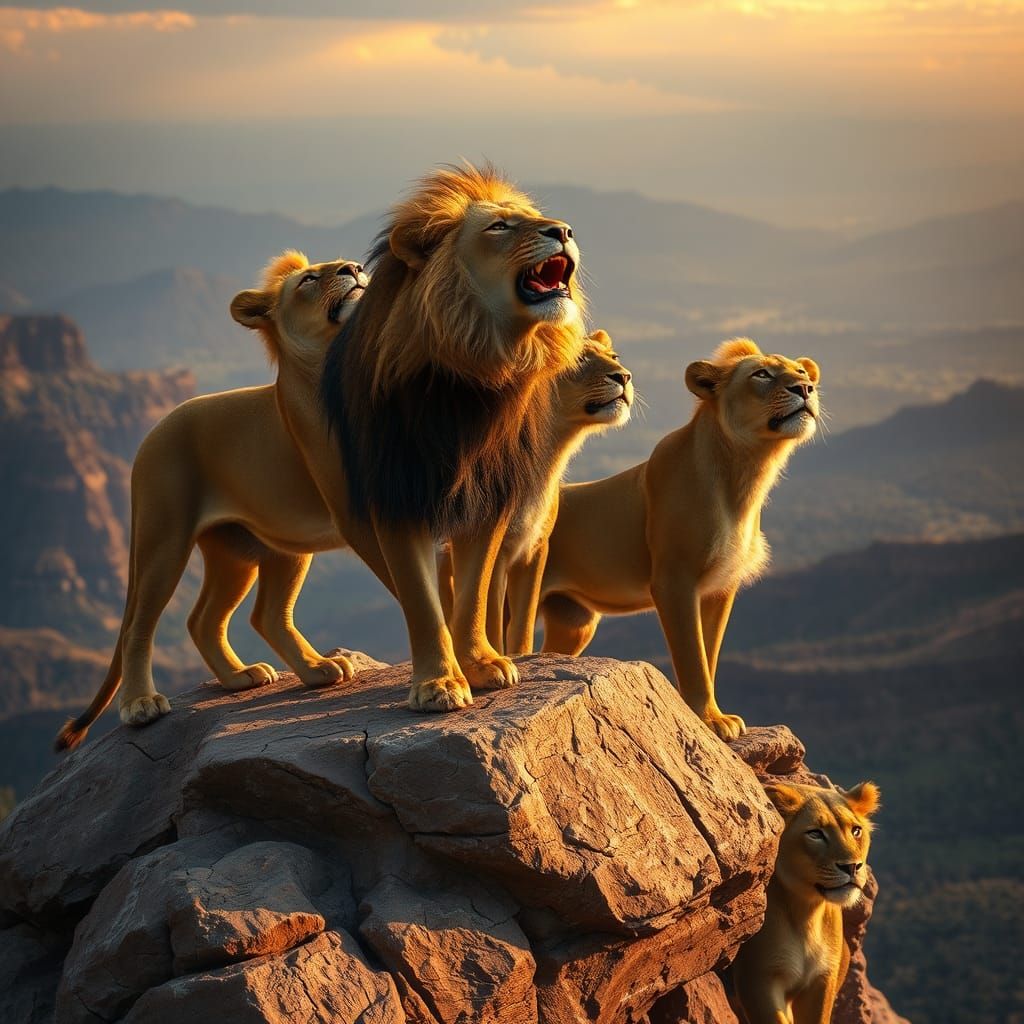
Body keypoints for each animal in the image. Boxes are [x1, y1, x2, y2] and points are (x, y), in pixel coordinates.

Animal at [55, 253, 369, 751]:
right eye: (308, 279)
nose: (354, 267)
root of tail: (157, 428)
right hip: (163, 538)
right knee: (138, 627)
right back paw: (141, 705)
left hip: (248, 550)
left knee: (232, 617)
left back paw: (278, 673)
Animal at [300, 163, 588, 712]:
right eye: (499, 226)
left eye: (533, 218)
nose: (563, 230)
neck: (477, 369)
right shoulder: (397, 493)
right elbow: (420, 599)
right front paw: (438, 682)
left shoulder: (489, 494)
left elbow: (473, 593)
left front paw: (481, 663)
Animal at [437, 333, 634, 653]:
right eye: (578, 358)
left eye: (614, 357)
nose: (624, 376)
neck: (545, 459)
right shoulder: (498, 553)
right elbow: (490, 620)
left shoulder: (534, 549)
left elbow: (522, 625)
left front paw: (519, 656)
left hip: (577, 625)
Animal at [536, 339, 820, 739]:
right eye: (761, 374)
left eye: (802, 372)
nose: (806, 388)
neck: (743, 477)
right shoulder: (674, 580)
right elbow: (692, 656)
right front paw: (710, 720)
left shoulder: (720, 588)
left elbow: (709, 652)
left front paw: (712, 714)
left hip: (574, 623)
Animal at [731, 781, 880, 1024]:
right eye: (815, 834)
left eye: (856, 831)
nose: (852, 867)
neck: (806, 914)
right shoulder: (757, 979)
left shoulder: (822, 981)